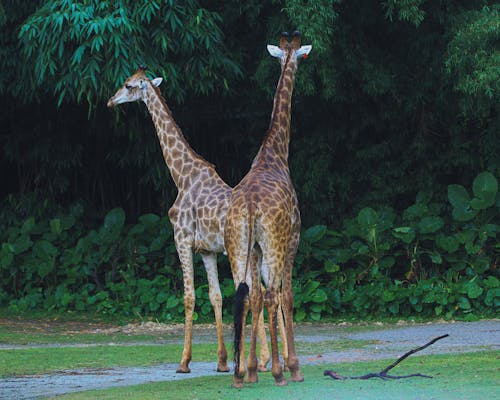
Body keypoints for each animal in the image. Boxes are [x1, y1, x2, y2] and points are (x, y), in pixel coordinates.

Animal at [107, 66, 276, 376]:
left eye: (128, 85)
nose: (110, 101)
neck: (181, 176)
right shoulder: (207, 250)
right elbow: (215, 295)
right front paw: (221, 361)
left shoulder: (182, 240)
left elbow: (189, 297)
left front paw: (184, 361)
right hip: (258, 251)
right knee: (267, 289)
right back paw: (265, 359)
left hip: (239, 252)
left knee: (254, 291)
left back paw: (260, 359)